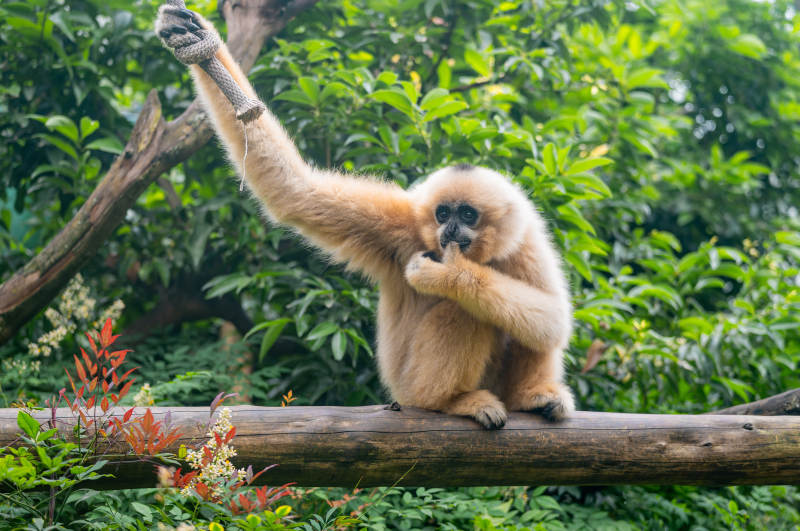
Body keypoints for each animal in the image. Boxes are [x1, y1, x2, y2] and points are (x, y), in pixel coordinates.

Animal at [155, 6, 575, 429]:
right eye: (442, 213)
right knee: (463, 312)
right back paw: (453, 401)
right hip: (411, 387)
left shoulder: (526, 243)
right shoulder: (400, 226)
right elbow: (295, 192)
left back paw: (531, 396)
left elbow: (553, 318)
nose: (451, 228)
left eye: (468, 214)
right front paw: (198, 37)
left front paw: (449, 274)